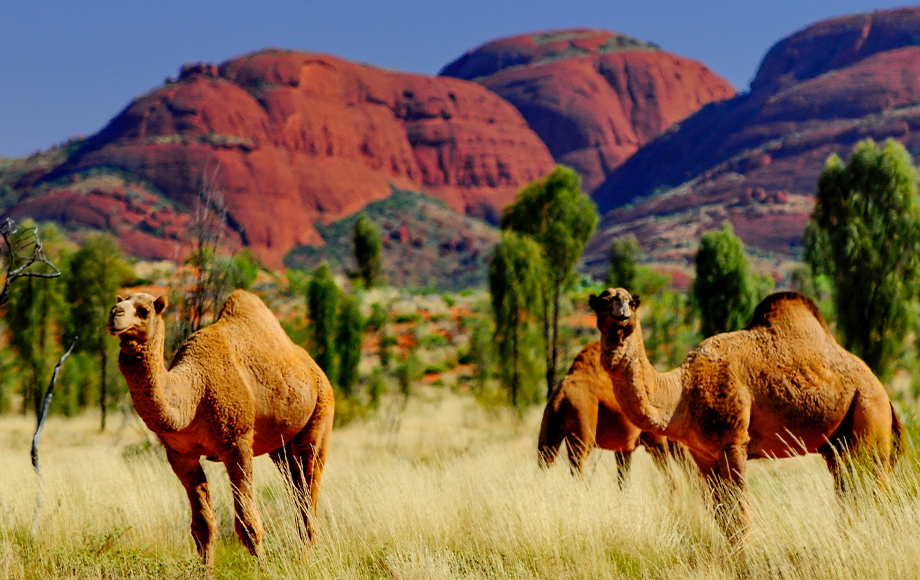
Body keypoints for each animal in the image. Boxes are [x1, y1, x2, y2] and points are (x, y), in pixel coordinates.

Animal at [108, 290, 336, 568]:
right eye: (121, 302)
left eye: (144, 311)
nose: (115, 313)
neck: (194, 393)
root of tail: (314, 368)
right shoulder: (179, 454)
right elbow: (203, 525)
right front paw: (205, 571)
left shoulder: (236, 441)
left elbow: (248, 522)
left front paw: (262, 569)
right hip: (281, 447)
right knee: (295, 486)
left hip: (321, 414)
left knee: (308, 487)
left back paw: (304, 560)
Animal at [540, 340, 684, 490]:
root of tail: (560, 395)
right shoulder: (654, 440)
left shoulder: (624, 448)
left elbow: (623, 483)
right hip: (582, 431)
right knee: (577, 468)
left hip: (548, 429)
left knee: (545, 461)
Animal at [584, 290, 904, 544]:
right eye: (603, 301)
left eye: (630, 302)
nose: (621, 313)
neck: (681, 393)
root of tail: (885, 394)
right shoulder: (703, 454)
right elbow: (723, 518)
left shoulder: (733, 442)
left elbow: (740, 516)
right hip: (838, 446)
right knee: (849, 494)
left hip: (869, 418)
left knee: (876, 492)